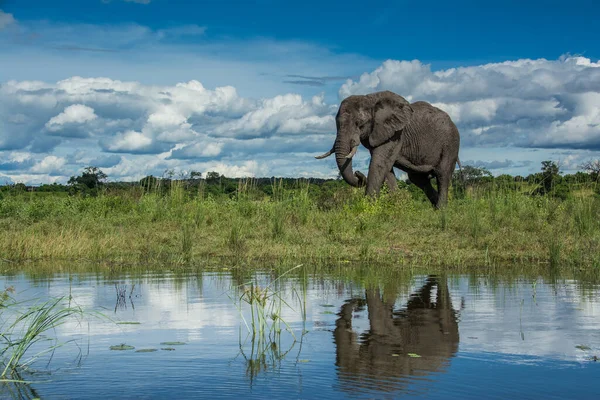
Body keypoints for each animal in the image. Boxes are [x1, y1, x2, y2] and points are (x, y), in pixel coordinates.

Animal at [316, 90, 462, 208]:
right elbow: (386, 167)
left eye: (360, 124)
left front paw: (368, 208)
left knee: (442, 175)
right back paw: (435, 207)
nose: (358, 173)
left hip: (451, 143)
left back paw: (441, 210)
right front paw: (398, 205)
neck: (369, 99)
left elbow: (379, 163)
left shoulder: (395, 134)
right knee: (418, 179)